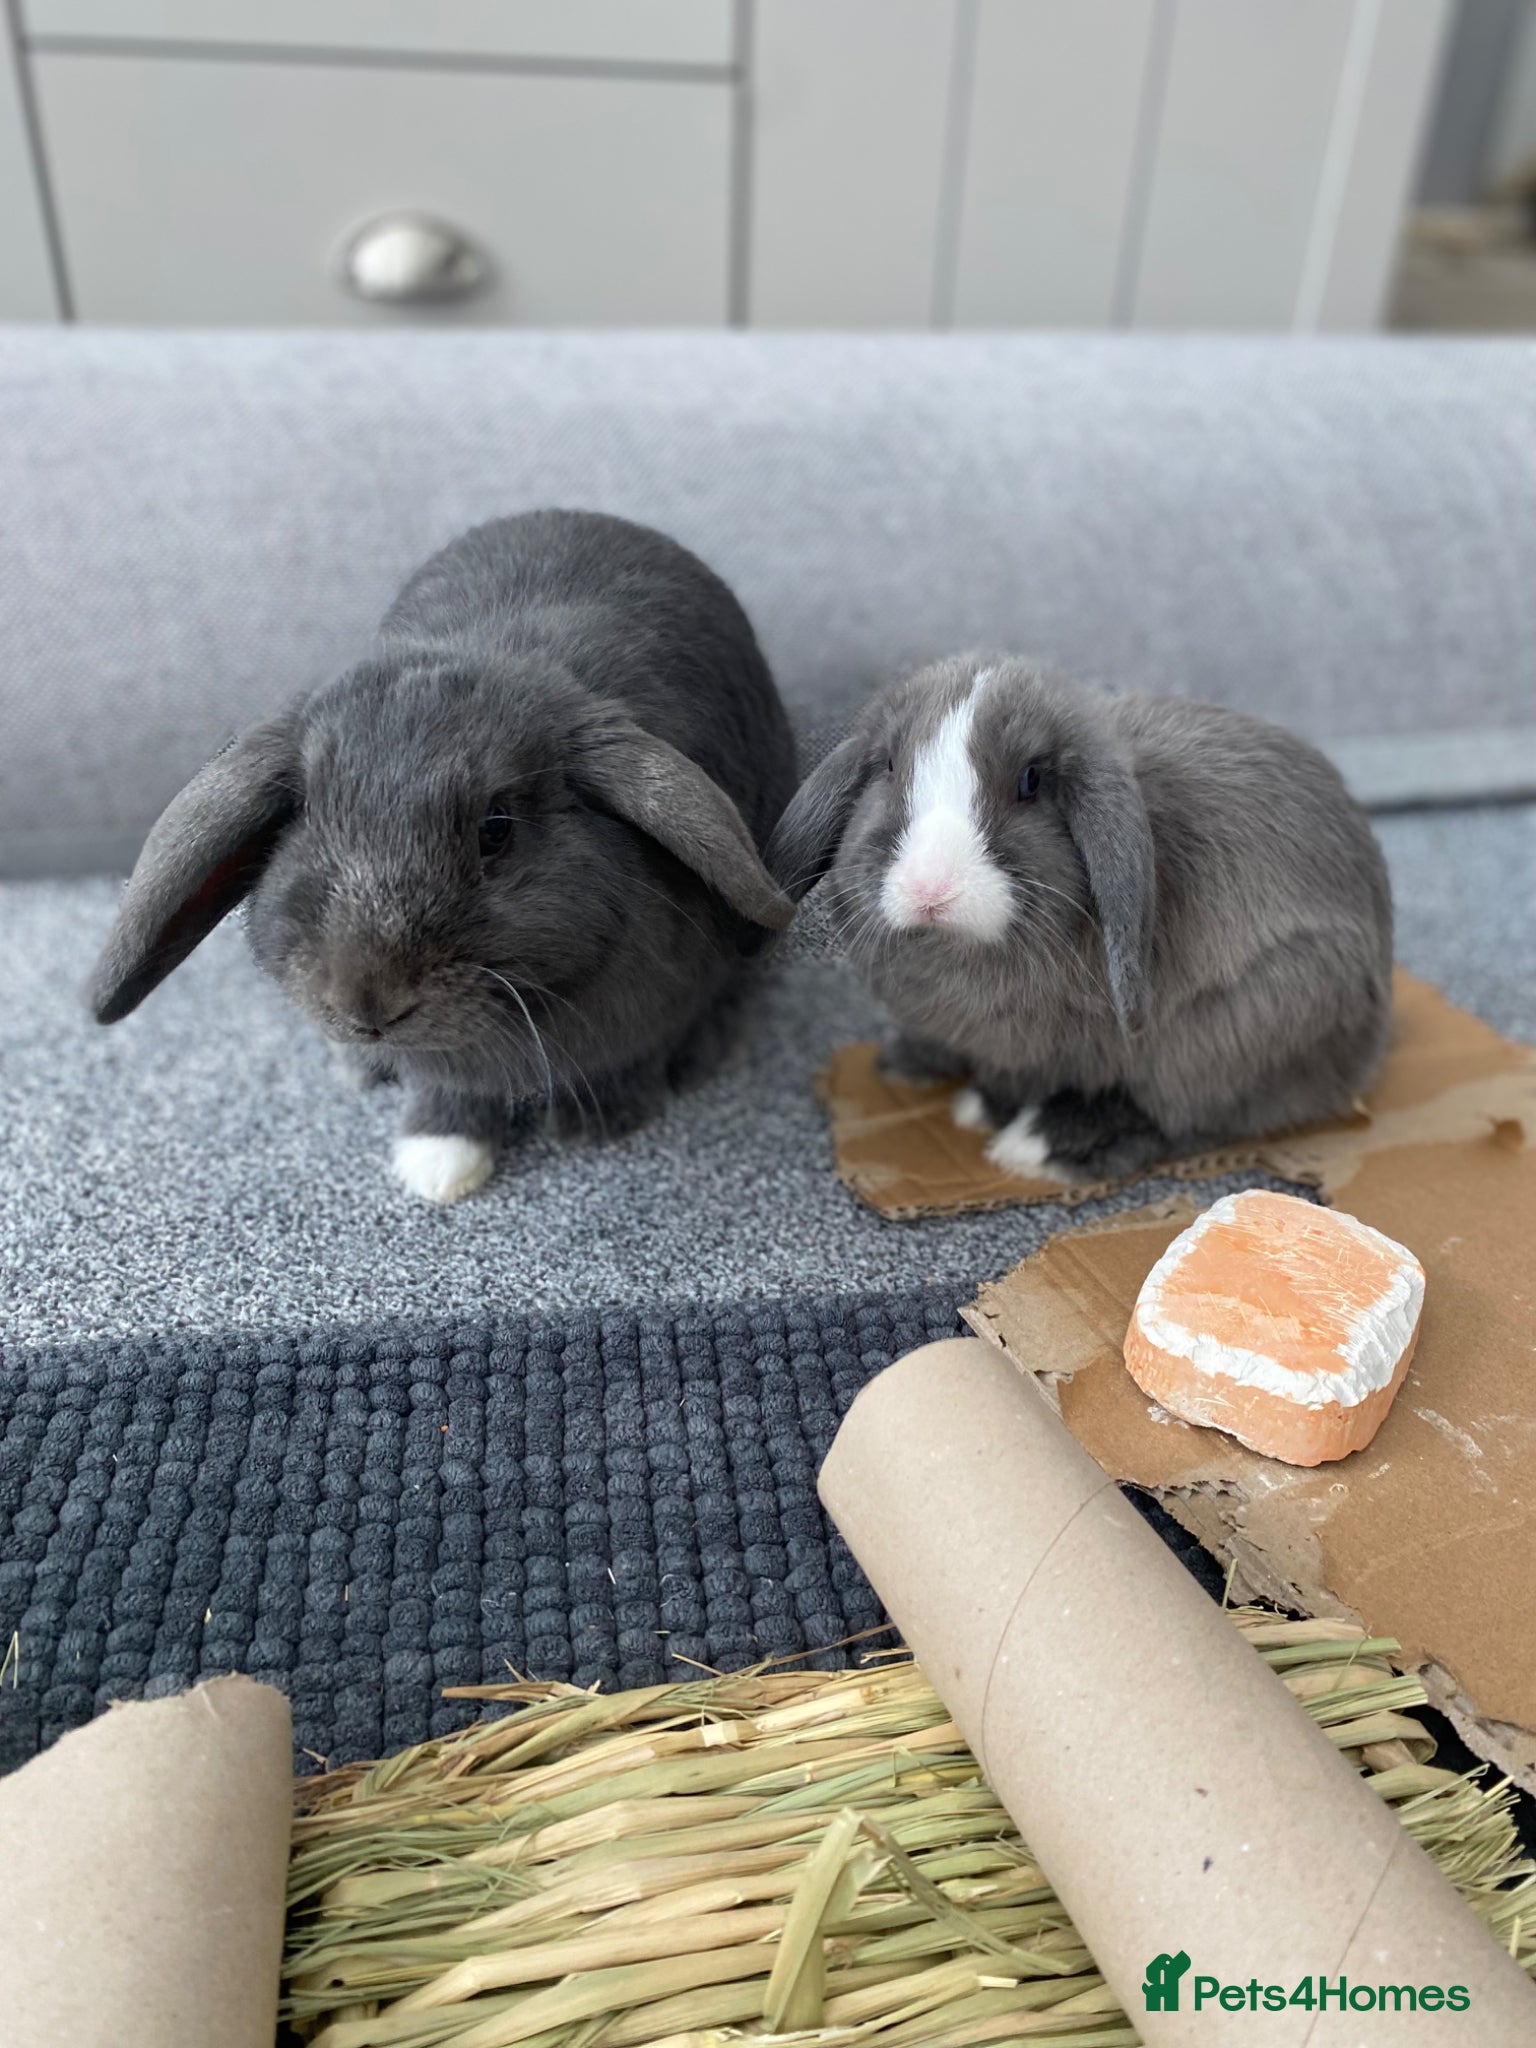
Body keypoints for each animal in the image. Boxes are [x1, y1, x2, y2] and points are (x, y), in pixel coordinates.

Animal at [88, 510, 797, 1202]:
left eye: (496, 826)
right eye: (303, 815)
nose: (367, 1003)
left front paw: (597, 1125)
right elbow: (446, 1091)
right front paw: (437, 1163)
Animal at [769, 654, 1393, 1185]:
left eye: (1030, 781)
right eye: (890, 766)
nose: (931, 888)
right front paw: (972, 1098)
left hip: (1251, 1024)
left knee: (1190, 1118)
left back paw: (1048, 1144)